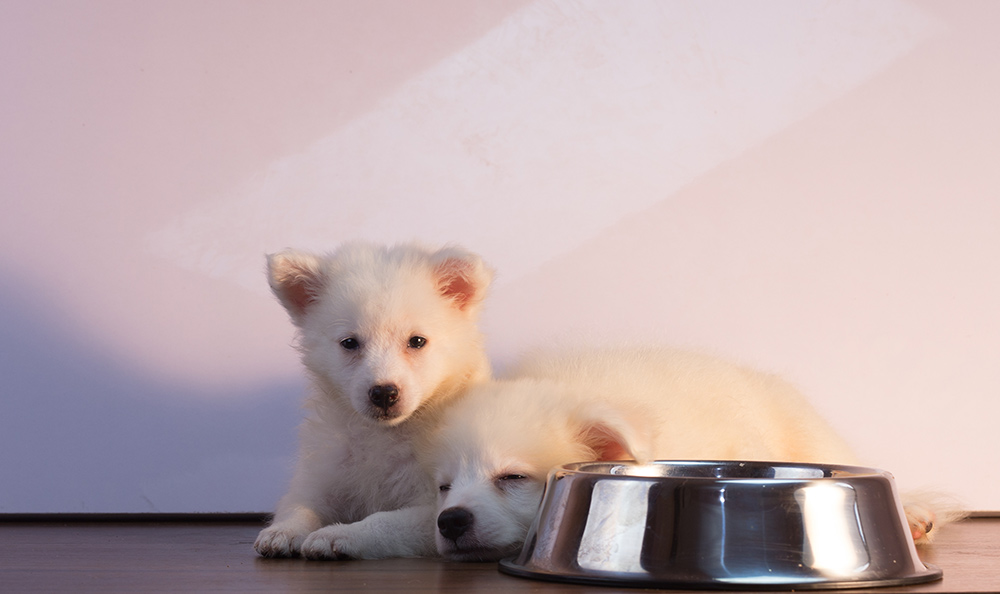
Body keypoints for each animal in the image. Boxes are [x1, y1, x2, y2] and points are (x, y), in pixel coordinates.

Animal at [256, 240, 494, 560]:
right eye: (349, 343)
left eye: (417, 341)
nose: (384, 393)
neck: (384, 436)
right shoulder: (322, 475)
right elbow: (299, 505)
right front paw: (284, 530)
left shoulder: (433, 509)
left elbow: (383, 520)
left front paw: (338, 534)